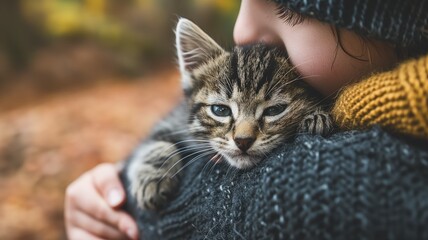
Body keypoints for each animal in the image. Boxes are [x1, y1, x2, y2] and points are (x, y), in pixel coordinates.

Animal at [124, 18, 334, 210]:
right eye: (220, 110)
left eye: (275, 110)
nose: (243, 140)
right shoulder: (175, 119)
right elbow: (154, 142)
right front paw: (152, 178)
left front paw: (316, 118)